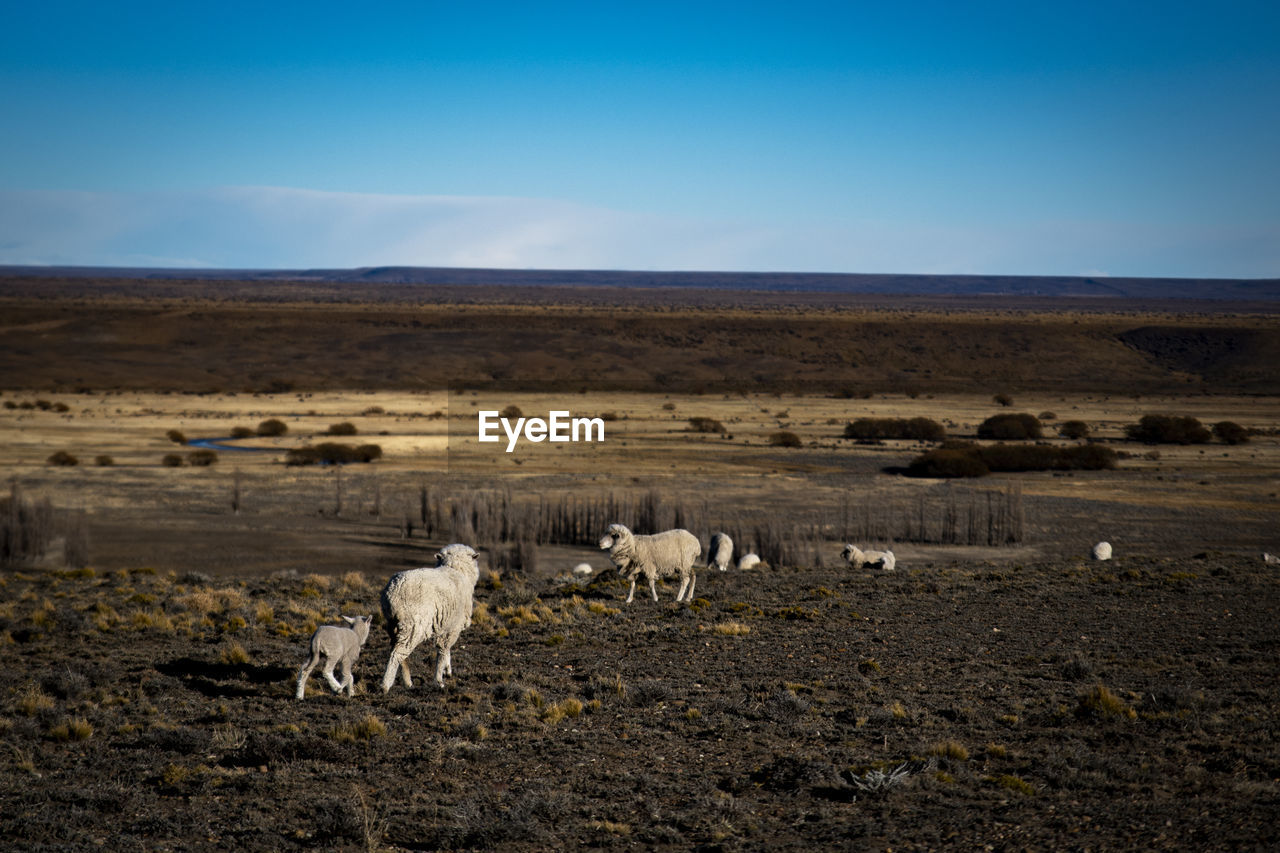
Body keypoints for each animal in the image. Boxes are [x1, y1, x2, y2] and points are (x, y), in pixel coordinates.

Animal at [381, 545, 481, 691]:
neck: (455, 569)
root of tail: (393, 590)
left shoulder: (446, 625)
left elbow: (445, 650)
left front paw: (447, 670)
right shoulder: (453, 626)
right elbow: (443, 650)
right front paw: (439, 680)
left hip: (394, 625)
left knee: (399, 652)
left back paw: (408, 682)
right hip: (413, 625)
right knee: (397, 653)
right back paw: (385, 685)